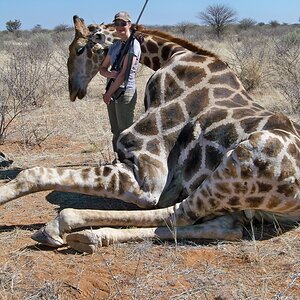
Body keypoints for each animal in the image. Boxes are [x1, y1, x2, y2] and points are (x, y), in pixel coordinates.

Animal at [0, 14, 300, 253]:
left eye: (80, 48)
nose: (73, 89)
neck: (171, 56)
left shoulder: (148, 173)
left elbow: (34, 174)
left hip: (241, 160)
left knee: (181, 214)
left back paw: (63, 227)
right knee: (228, 227)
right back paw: (89, 238)